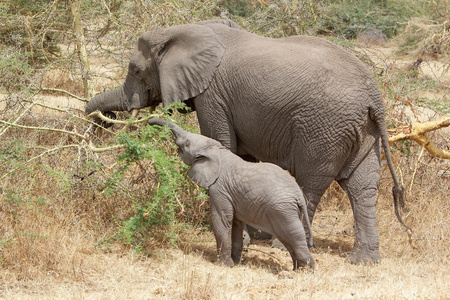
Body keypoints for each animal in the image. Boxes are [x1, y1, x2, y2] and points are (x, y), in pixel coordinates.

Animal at [149, 118, 314, 270]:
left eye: (186, 143)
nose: (150, 121)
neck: (218, 151)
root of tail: (299, 194)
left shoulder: (219, 188)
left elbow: (221, 220)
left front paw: (223, 265)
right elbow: (236, 223)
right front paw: (235, 263)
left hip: (282, 210)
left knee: (293, 235)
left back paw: (306, 271)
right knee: (287, 238)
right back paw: (297, 269)